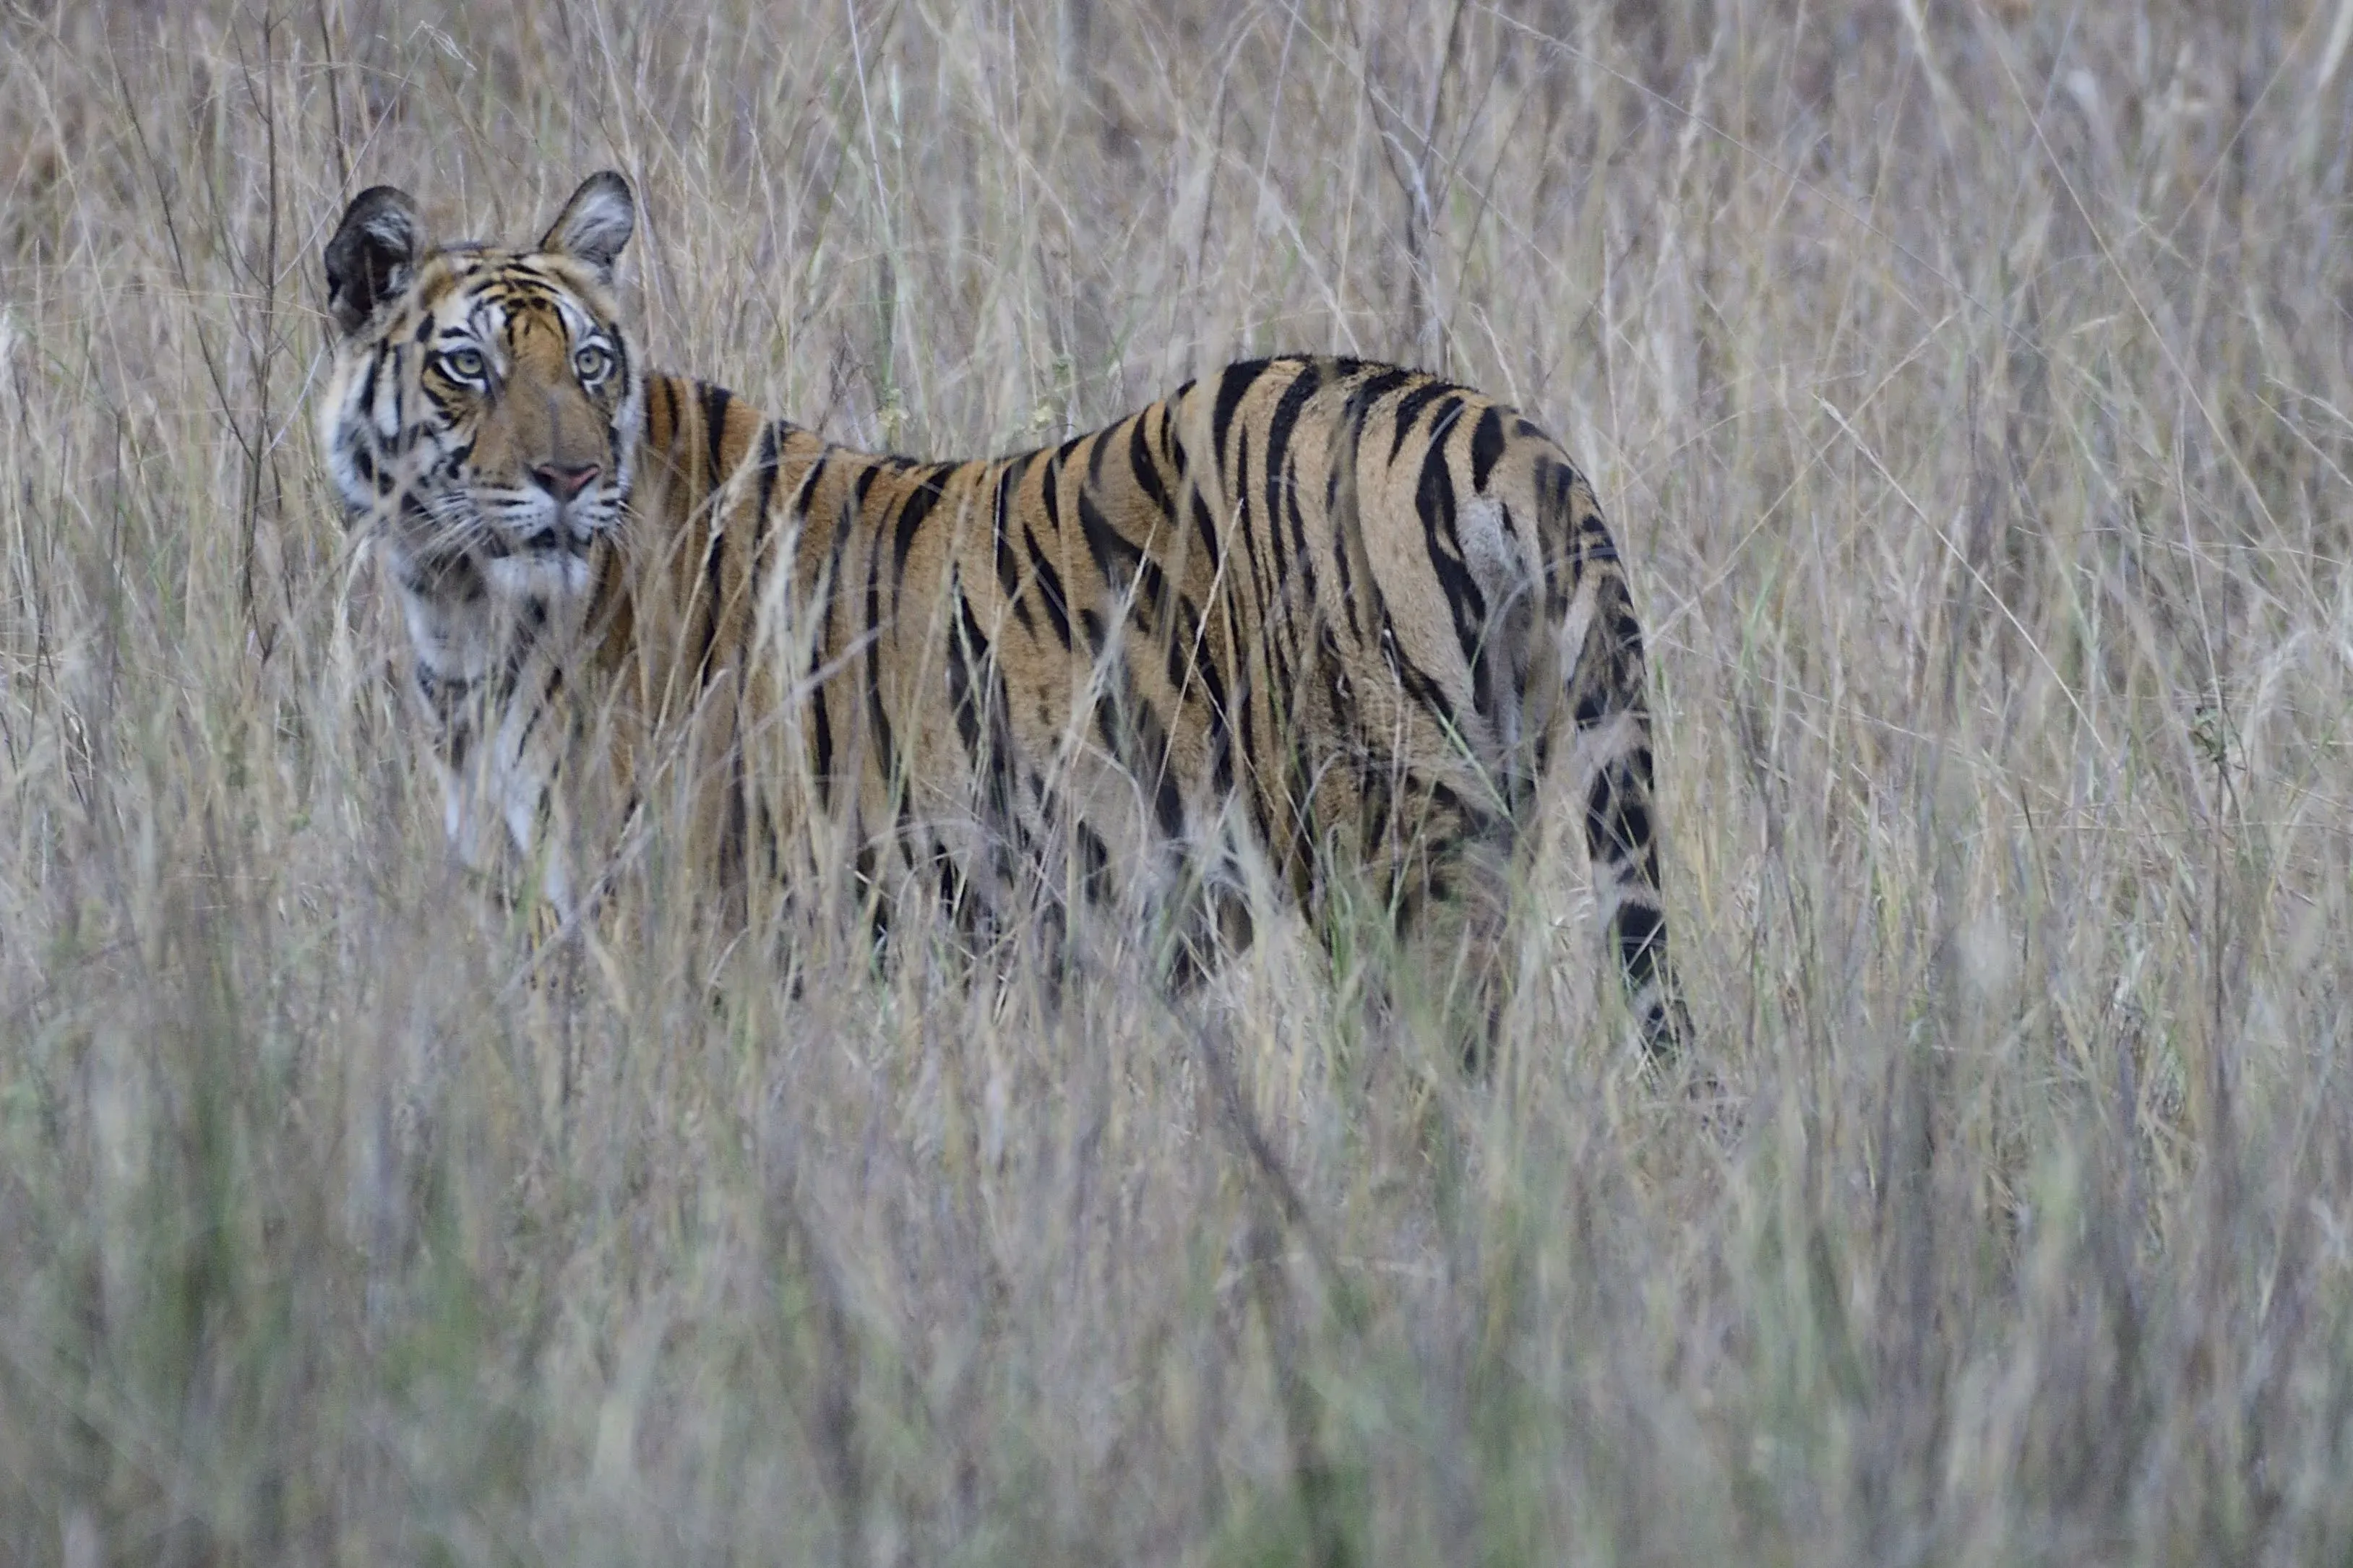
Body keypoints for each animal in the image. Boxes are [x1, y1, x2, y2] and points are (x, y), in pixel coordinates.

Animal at [316, 171, 1689, 1055]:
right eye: (468, 366)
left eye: (590, 364)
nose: (566, 478)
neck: (463, 611)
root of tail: (1496, 427)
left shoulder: (671, 926)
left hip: (1394, 862)